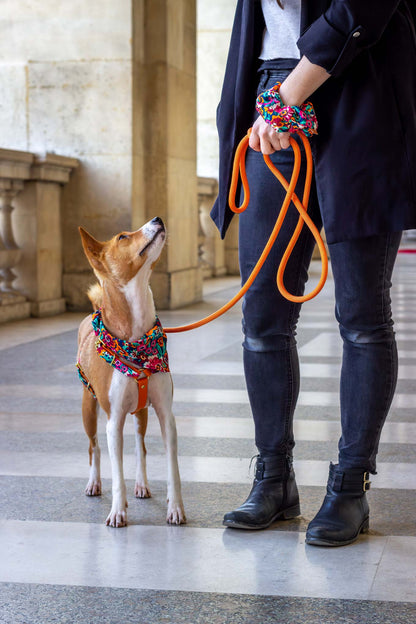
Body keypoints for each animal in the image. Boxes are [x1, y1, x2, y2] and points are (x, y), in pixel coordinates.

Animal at [76, 218, 185, 528]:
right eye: (123, 237)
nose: (157, 219)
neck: (137, 340)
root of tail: (93, 312)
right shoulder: (113, 421)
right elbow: (117, 473)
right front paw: (117, 511)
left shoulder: (165, 414)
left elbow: (172, 469)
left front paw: (175, 508)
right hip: (88, 408)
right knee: (94, 447)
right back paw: (94, 483)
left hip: (141, 412)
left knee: (140, 447)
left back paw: (141, 484)